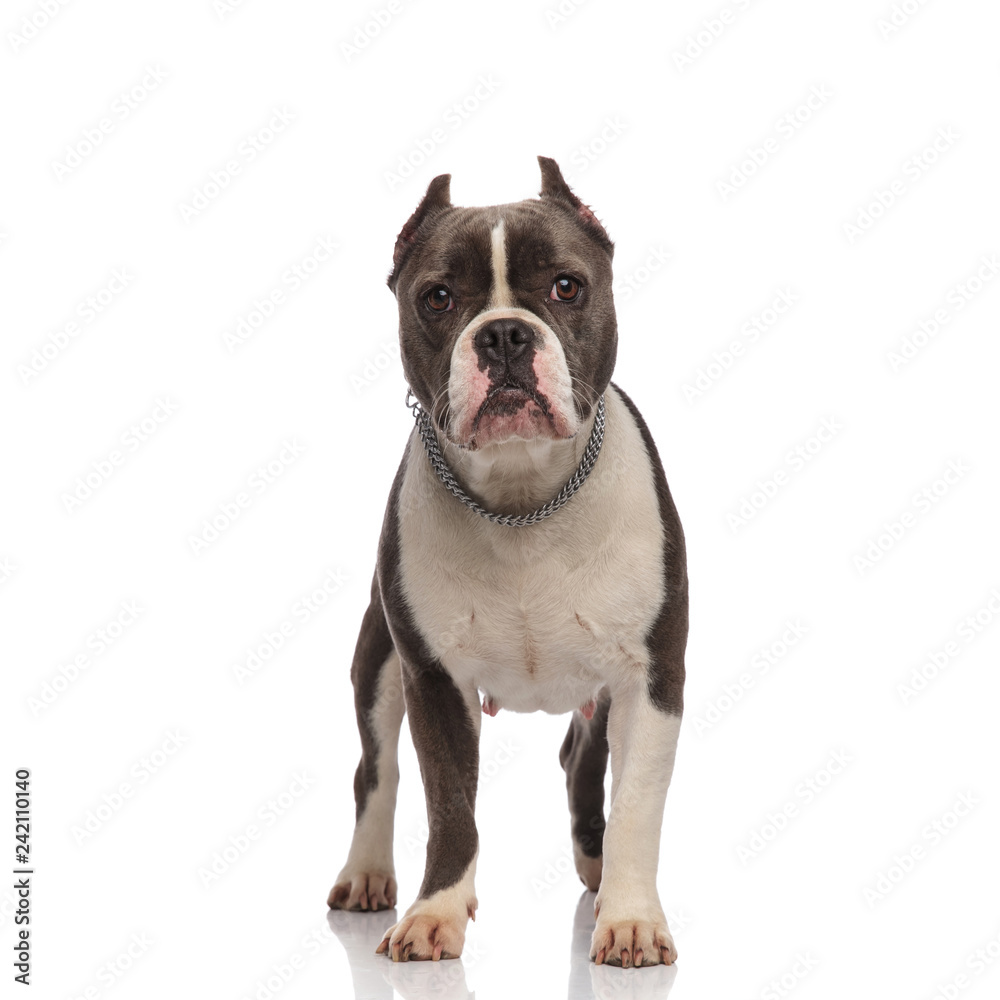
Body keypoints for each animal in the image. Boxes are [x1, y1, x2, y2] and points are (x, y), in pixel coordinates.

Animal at [328, 156, 688, 968]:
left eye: (567, 287)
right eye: (437, 298)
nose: (501, 337)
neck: (523, 498)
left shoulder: (651, 678)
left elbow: (639, 805)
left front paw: (631, 919)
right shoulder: (434, 680)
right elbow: (449, 806)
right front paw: (436, 913)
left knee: (580, 761)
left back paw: (595, 866)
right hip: (378, 661)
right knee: (377, 771)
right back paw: (366, 874)